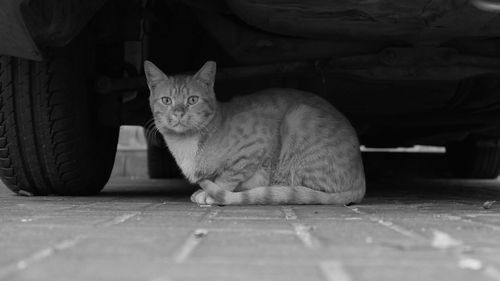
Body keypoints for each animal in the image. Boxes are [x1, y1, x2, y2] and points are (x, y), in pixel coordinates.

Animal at [143, 59, 366, 203]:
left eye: (192, 100)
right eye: (166, 100)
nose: (178, 113)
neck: (185, 144)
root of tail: (361, 177)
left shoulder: (254, 148)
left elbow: (228, 177)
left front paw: (213, 193)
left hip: (298, 117)